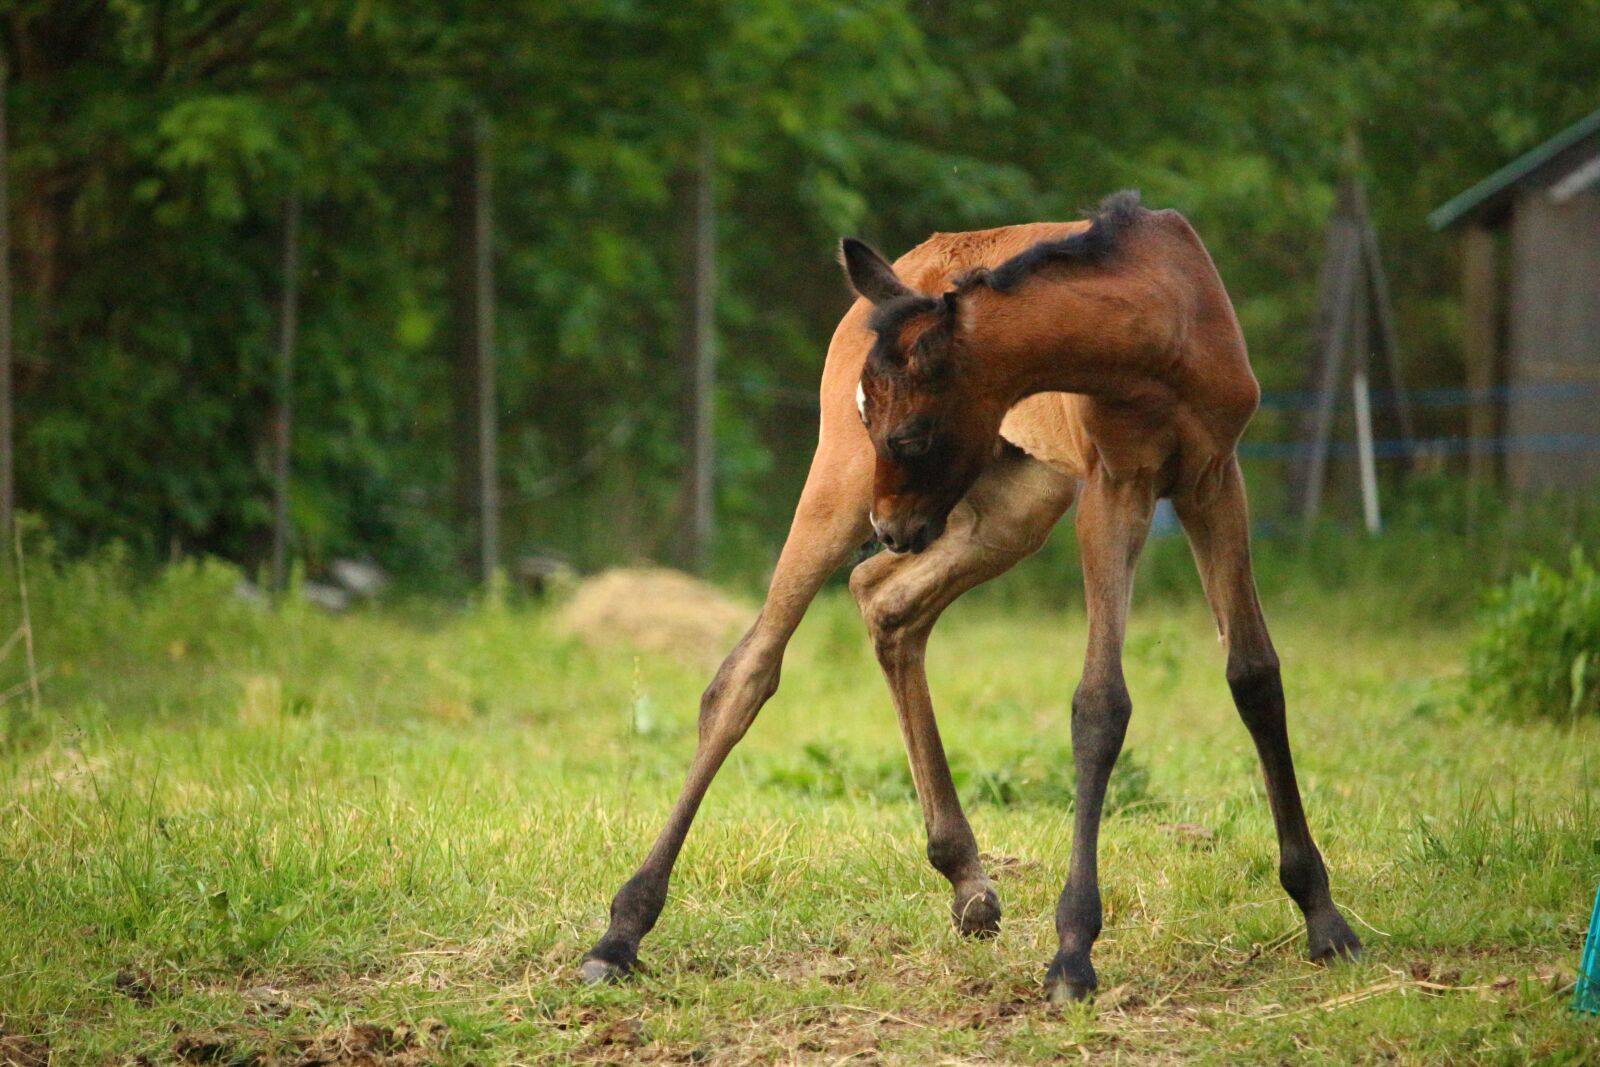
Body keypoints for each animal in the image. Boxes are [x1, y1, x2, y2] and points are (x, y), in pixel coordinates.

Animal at [581, 191, 1362, 1004]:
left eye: (912, 434)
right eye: (870, 415)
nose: (889, 528)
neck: (1163, 325)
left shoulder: (1214, 478)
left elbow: (1254, 677)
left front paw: (1324, 918)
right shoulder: (1115, 486)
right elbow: (1101, 704)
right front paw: (1073, 950)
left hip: (1016, 502)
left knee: (883, 600)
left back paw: (966, 877)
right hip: (847, 483)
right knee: (748, 669)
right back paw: (621, 931)